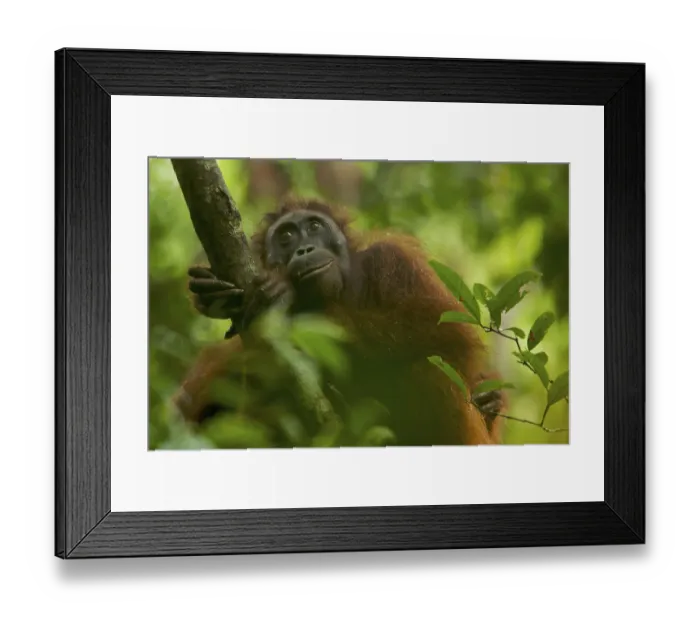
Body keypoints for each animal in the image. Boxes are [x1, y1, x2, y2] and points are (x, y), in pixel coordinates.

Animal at [174, 199, 505, 447]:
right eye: (285, 237)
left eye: (314, 227)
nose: (304, 249)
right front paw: (211, 293)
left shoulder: (394, 261)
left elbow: (447, 333)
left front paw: (291, 301)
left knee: (431, 371)